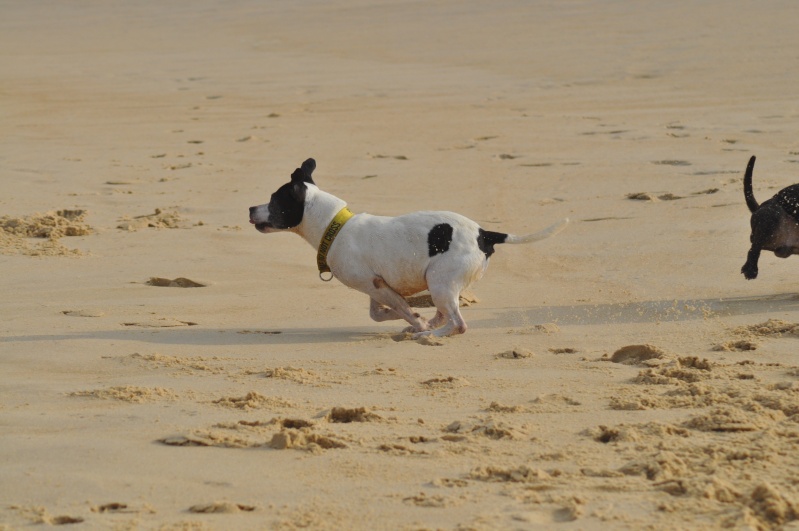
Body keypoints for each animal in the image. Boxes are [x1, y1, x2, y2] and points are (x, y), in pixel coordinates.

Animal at [250, 159, 568, 340]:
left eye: (274, 200)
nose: (251, 208)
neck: (334, 226)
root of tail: (483, 235)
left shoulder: (375, 285)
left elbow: (401, 308)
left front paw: (419, 323)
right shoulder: (377, 287)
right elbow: (382, 313)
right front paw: (417, 320)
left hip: (439, 282)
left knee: (459, 323)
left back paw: (431, 334)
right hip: (442, 285)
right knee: (447, 314)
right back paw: (429, 326)